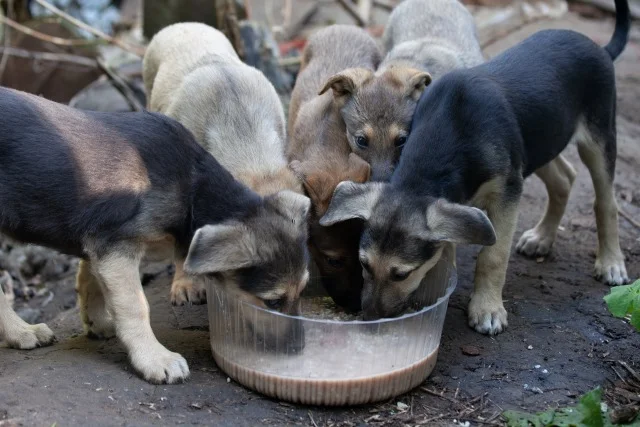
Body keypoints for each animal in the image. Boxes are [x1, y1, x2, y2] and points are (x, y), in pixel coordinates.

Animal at [0, 87, 310, 384]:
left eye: (303, 290)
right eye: (272, 302)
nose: (299, 349)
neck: (192, 191)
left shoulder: (99, 243)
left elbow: (89, 280)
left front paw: (98, 322)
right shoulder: (116, 247)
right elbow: (136, 306)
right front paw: (153, 358)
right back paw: (22, 331)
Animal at [322, 0, 632, 336]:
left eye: (401, 274)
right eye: (364, 263)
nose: (370, 319)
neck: (452, 129)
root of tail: (600, 48)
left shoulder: (508, 192)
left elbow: (493, 256)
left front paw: (487, 309)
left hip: (597, 138)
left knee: (606, 201)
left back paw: (611, 262)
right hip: (540, 141)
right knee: (565, 177)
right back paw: (542, 237)